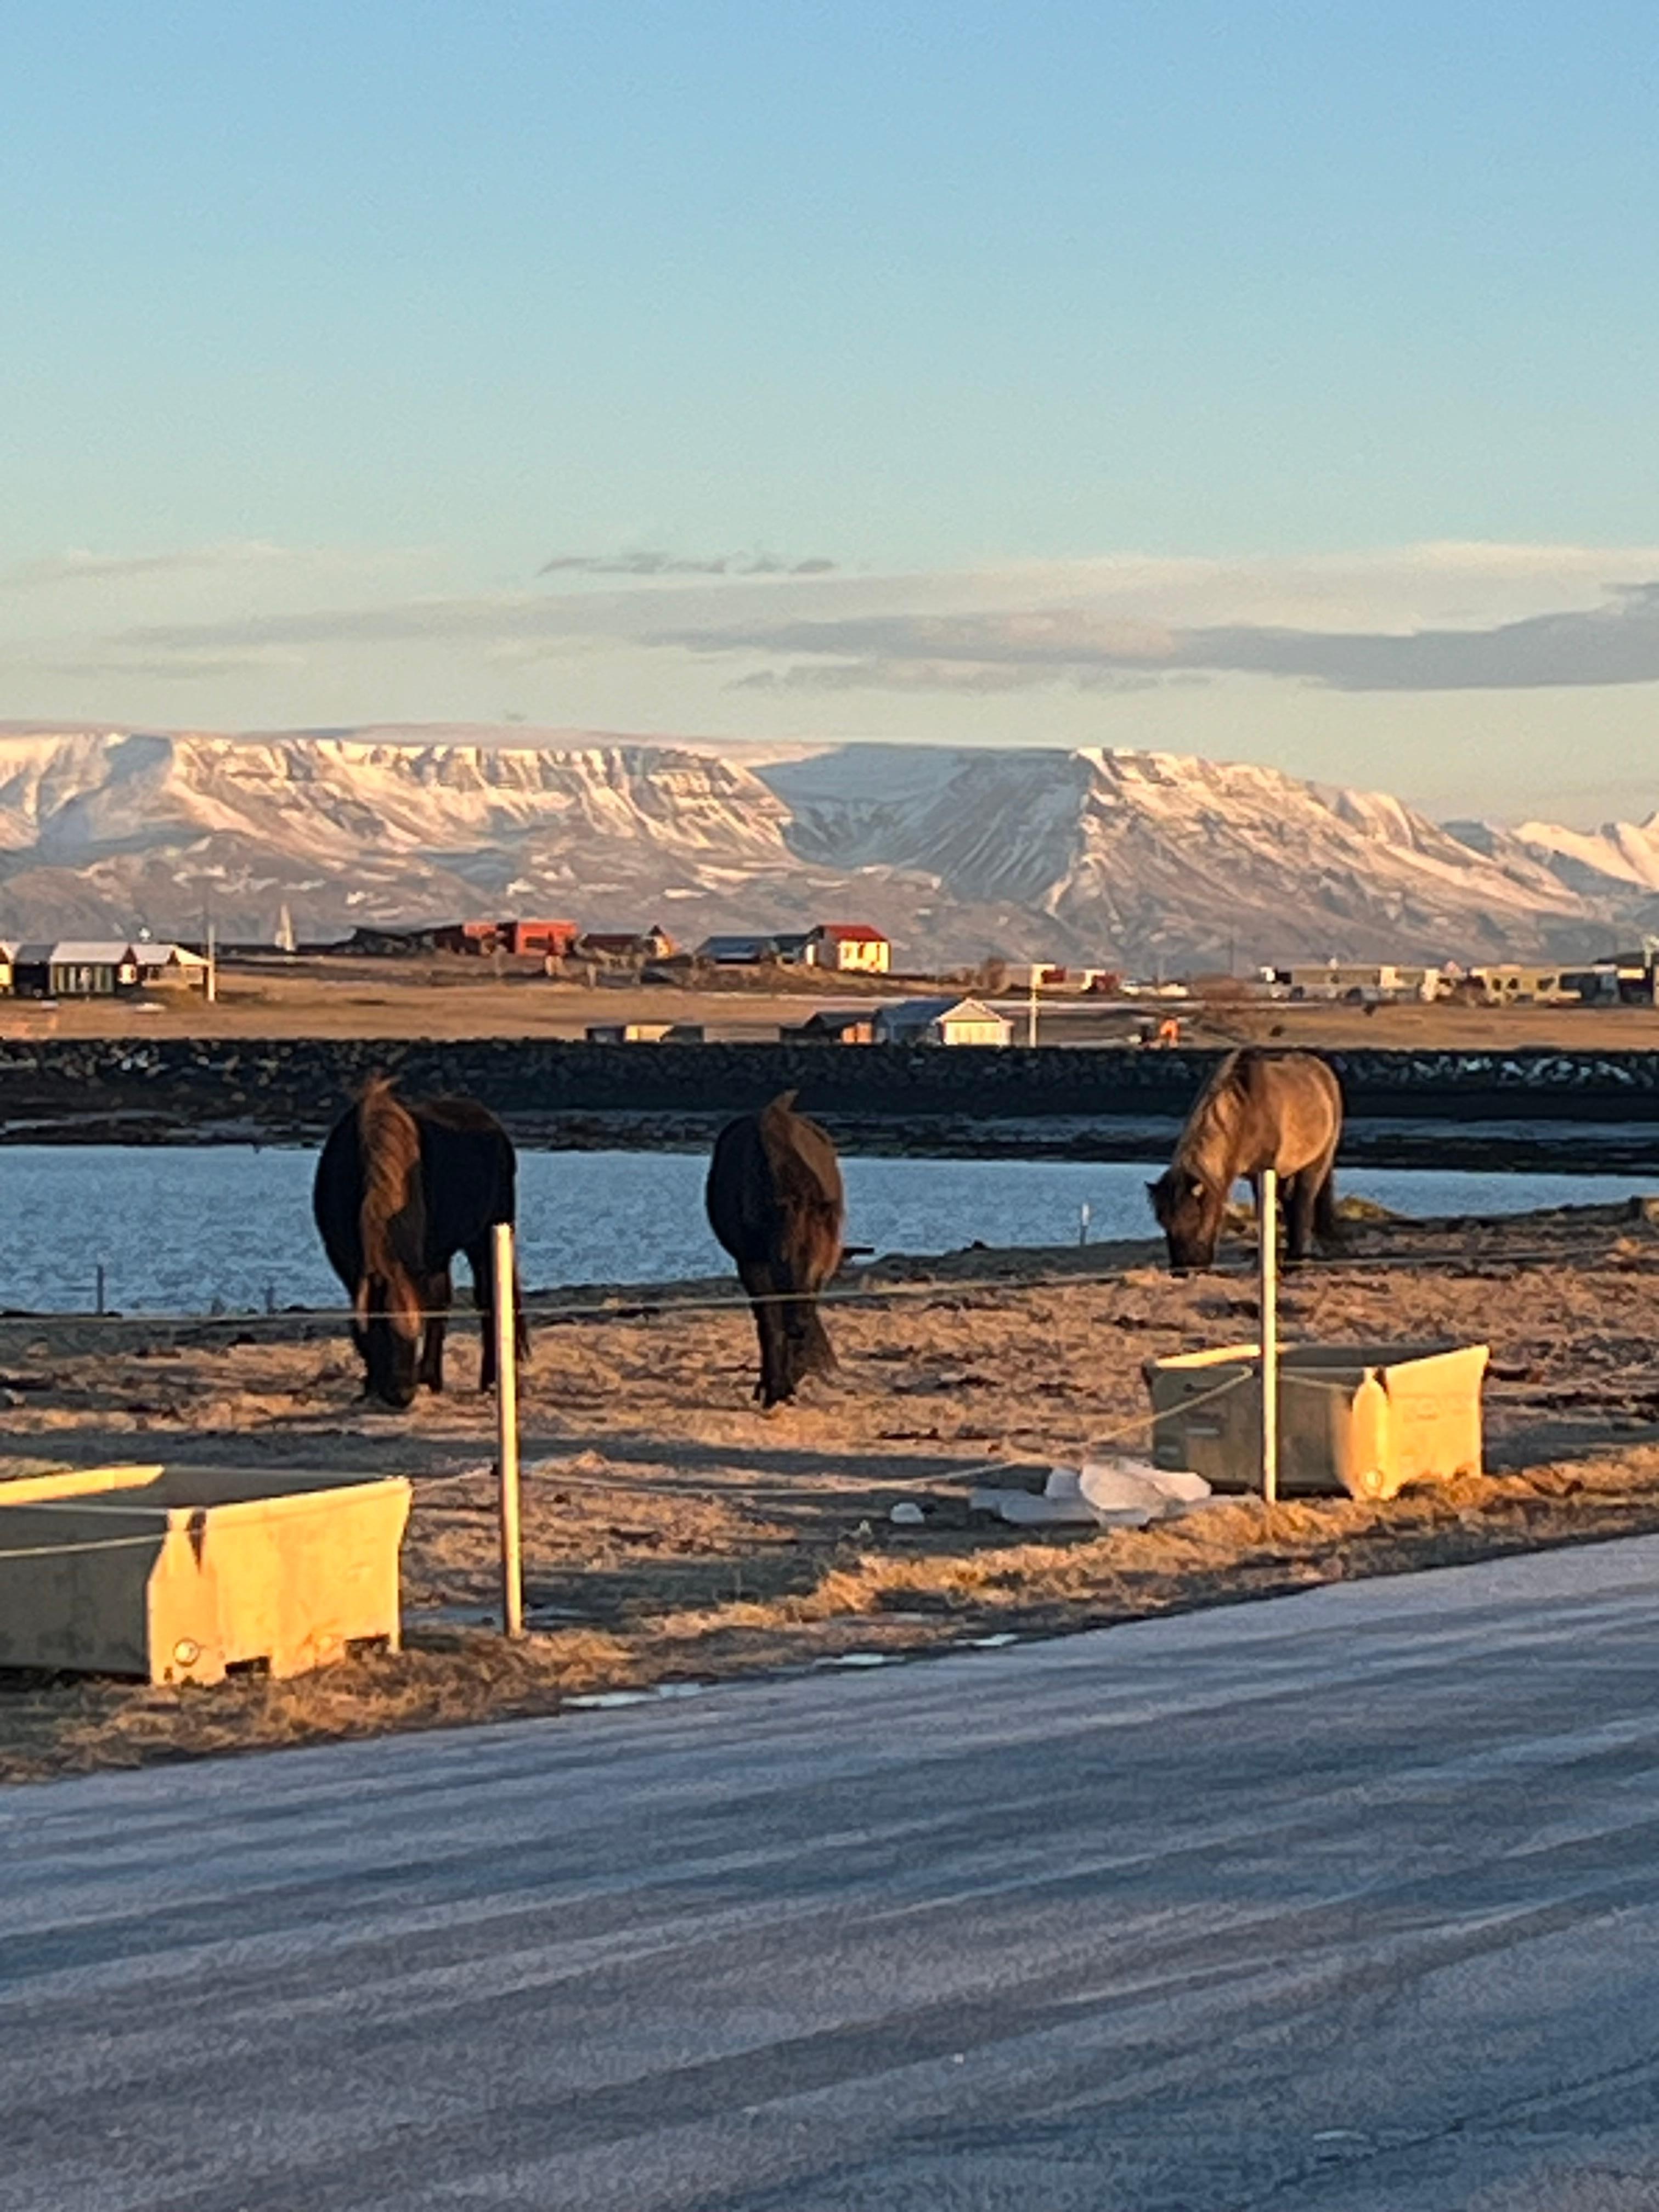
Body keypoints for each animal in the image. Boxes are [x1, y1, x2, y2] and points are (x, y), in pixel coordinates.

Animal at [312, 1077, 525, 1407]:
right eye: (382, 1329)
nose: (402, 1394)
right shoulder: (347, 1260)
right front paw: (370, 1386)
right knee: (443, 1299)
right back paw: (431, 1377)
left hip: (486, 1238)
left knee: (488, 1298)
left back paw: (488, 1381)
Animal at [706, 1091, 845, 1408]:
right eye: (781, 1261)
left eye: (820, 1265)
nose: (799, 1326)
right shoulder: (752, 1260)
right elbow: (770, 1322)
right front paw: (775, 1388)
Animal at [1148, 1048, 1342, 1271]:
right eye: (1164, 1222)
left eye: (1193, 1218)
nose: (1184, 1269)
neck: (1243, 1115)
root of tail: (1324, 1073)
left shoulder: (1264, 1171)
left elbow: (1265, 1210)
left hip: (1318, 1161)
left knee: (1305, 1199)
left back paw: (1299, 1254)